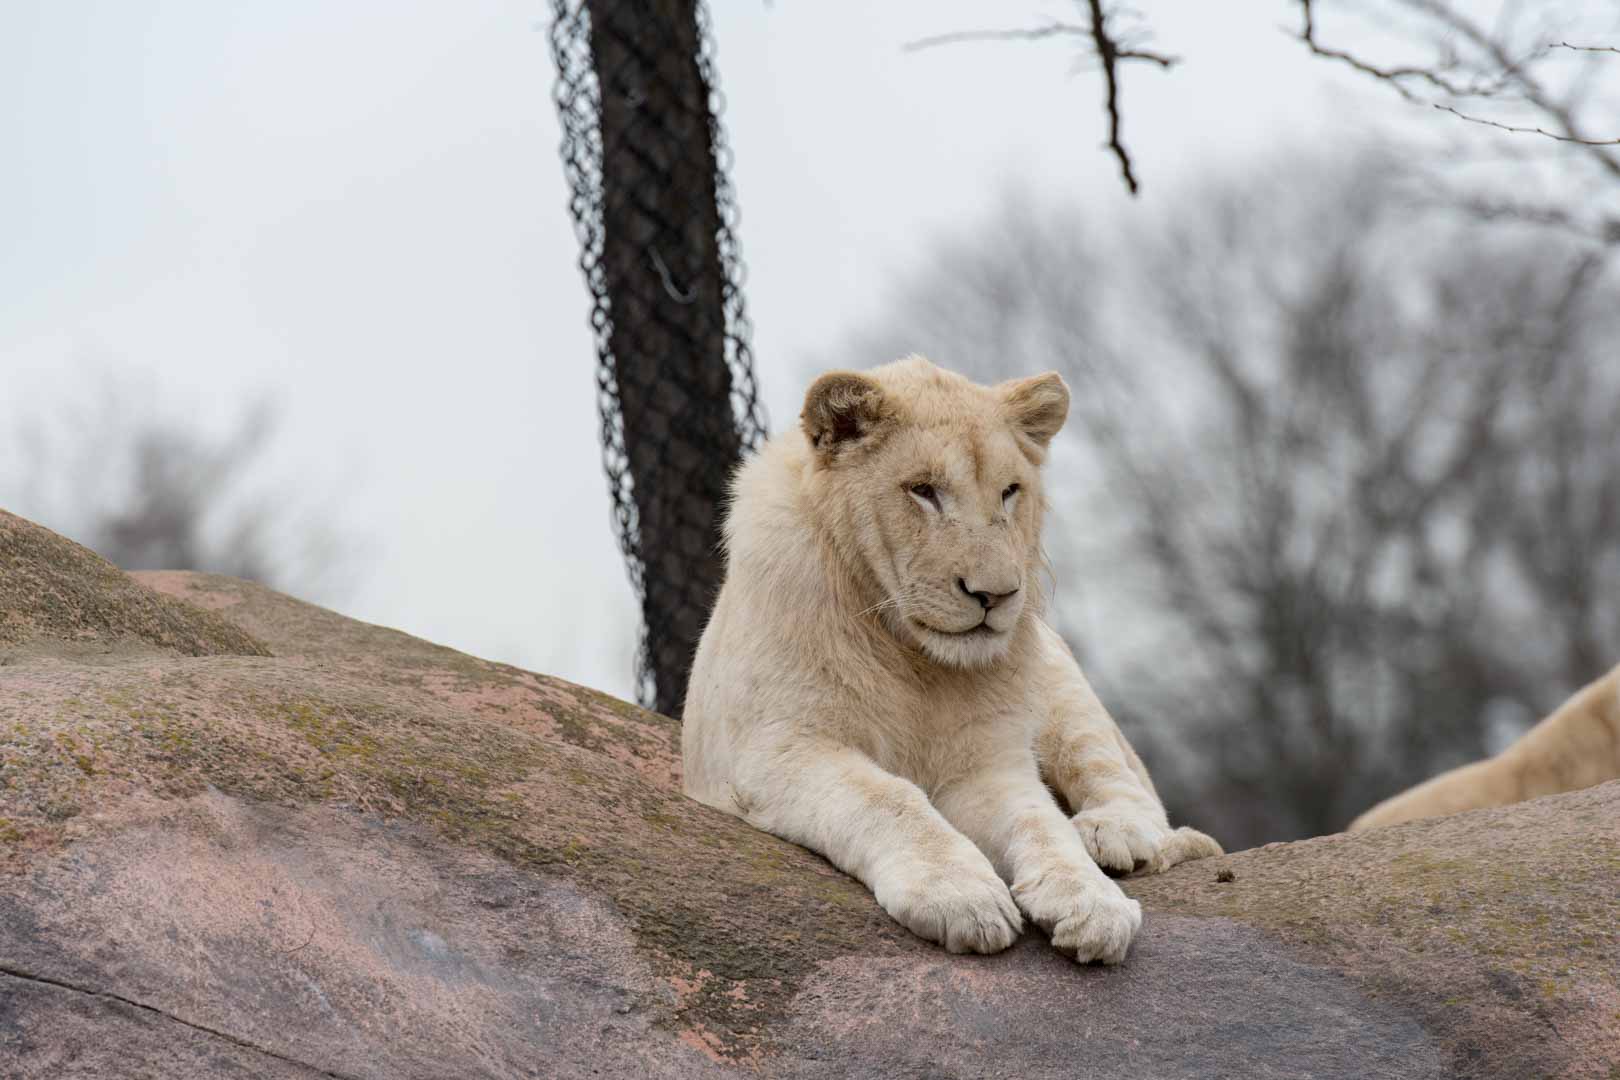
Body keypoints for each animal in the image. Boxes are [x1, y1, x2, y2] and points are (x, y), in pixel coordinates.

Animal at [682, 356, 1221, 965]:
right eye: (924, 490)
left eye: (1009, 492)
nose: (996, 595)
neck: (912, 659)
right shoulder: (773, 748)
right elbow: (890, 799)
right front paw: (962, 896)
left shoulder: (984, 763)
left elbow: (1040, 823)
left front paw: (1092, 902)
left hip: (1065, 690)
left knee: (1127, 783)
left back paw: (1113, 835)